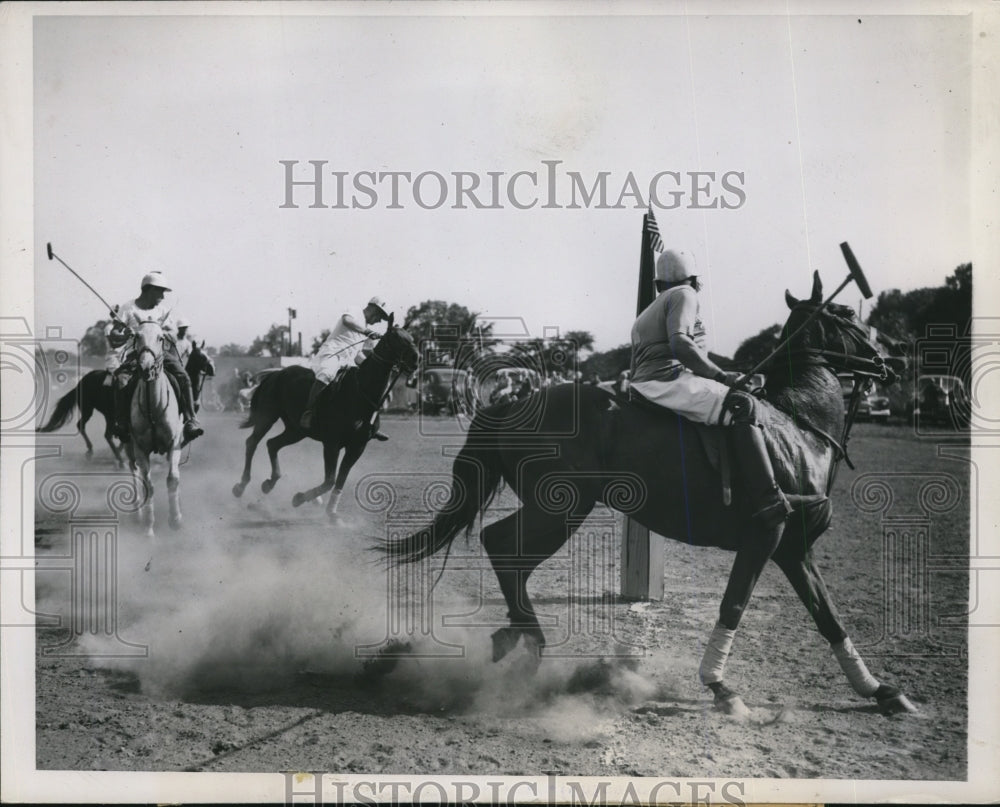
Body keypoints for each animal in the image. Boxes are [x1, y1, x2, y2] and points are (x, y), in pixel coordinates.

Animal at [230, 312, 418, 520]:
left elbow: (340, 480)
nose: (416, 358)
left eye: (411, 337)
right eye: (395, 338)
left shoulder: (358, 446)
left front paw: (332, 513)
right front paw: (300, 498)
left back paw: (269, 483)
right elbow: (330, 480)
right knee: (252, 442)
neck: (361, 394)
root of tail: (274, 375)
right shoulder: (332, 443)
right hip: (267, 415)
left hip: (296, 429)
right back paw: (241, 486)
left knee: (272, 444)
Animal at [380, 274, 916, 716]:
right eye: (846, 313)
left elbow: (829, 617)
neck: (799, 426)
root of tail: (511, 403)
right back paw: (526, 640)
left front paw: (881, 691)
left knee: (509, 553)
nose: (898, 357)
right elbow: (734, 606)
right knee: (502, 545)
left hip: (558, 508)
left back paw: (517, 637)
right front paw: (721, 688)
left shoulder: (793, 548)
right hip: (561, 507)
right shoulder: (765, 536)